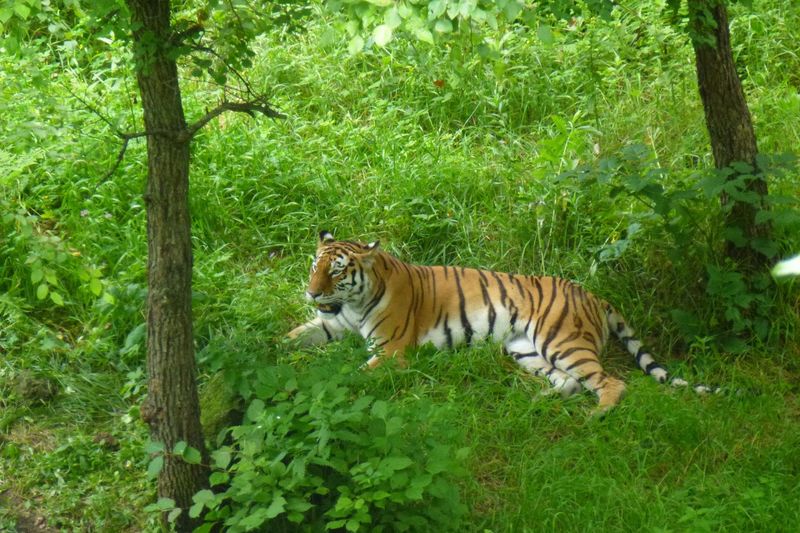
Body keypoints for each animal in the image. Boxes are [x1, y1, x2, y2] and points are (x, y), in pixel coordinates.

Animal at [290, 231, 708, 410]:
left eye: (337, 271)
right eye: (314, 268)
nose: (312, 293)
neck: (353, 304)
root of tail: (592, 294)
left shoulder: (391, 351)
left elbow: (349, 376)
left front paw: (311, 390)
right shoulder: (332, 324)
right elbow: (293, 336)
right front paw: (277, 355)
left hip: (561, 342)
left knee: (611, 382)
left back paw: (596, 415)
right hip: (523, 349)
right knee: (570, 382)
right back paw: (535, 401)